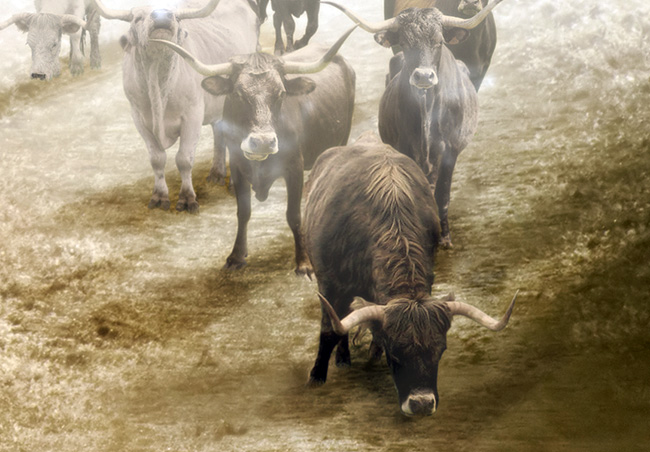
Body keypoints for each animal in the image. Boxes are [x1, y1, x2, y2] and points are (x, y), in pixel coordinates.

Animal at [92, 0, 259, 213]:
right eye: (138, 18)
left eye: (177, 17)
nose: (162, 16)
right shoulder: (139, 118)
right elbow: (157, 159)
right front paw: (159, 196)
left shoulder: (192, 115)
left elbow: (184, 159)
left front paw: (187, 198)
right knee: (219, 132)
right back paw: (216, 174)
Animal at [152, 27, 356, 273]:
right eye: (238, 94)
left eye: (281, 93)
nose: (263, 141)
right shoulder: (237, 167)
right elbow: (243, 213)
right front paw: (237, 255)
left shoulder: (295, 168)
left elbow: (294, 215)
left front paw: (304, 261)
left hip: (341, 140)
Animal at [304, 132, 517, 416]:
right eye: (396, 353)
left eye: (440, 350)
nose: (422, 404)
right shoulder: (329, 285)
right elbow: (330, 329)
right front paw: (317, 376)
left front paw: (373, 352)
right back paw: (343, 359)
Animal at [325, 1, 505, 248]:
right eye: (404, 42)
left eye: (439, 41)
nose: (423, 76)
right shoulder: (405, 148)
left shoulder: (449, 152)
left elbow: (443, 196)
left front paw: (445, 238)